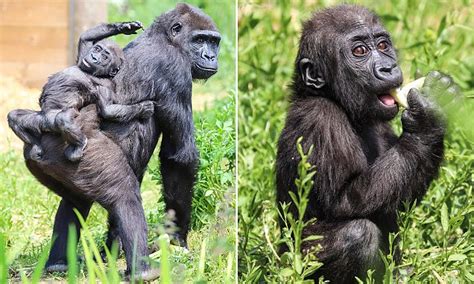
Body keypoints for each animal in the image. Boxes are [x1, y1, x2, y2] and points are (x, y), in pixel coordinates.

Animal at [6, 20, 154, 162]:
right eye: (97, 49)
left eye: (105, 57)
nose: (94, 57)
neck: (94, 73)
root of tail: (47, 126)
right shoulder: (84, 54)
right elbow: (85, 38)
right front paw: (125, 26)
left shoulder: (106, 85)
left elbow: (108, 110)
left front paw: (143, 108)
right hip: (41, 120)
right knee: (14, 117)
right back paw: (35, 146)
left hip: (59, 119)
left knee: (63, 119)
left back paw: (79, 146)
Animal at [24, 3, 220, 280]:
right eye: (200, 40)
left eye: (214, 42)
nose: (212, 57)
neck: (165, 39)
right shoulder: (175, 69)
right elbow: (179, 158)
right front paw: (177, 239)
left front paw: (110, 250)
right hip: (83, 151)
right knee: (124, 195)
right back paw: (143, 272)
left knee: (76, 201)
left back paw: (59, 264)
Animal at [278, 5, 456, 284]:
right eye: (359, 51)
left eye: (383, 45)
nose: (388, 67)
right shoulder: (320, 119)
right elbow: (346, 201)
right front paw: (427, 119)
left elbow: (398, 199)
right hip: (292, 266)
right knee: (357, 234)